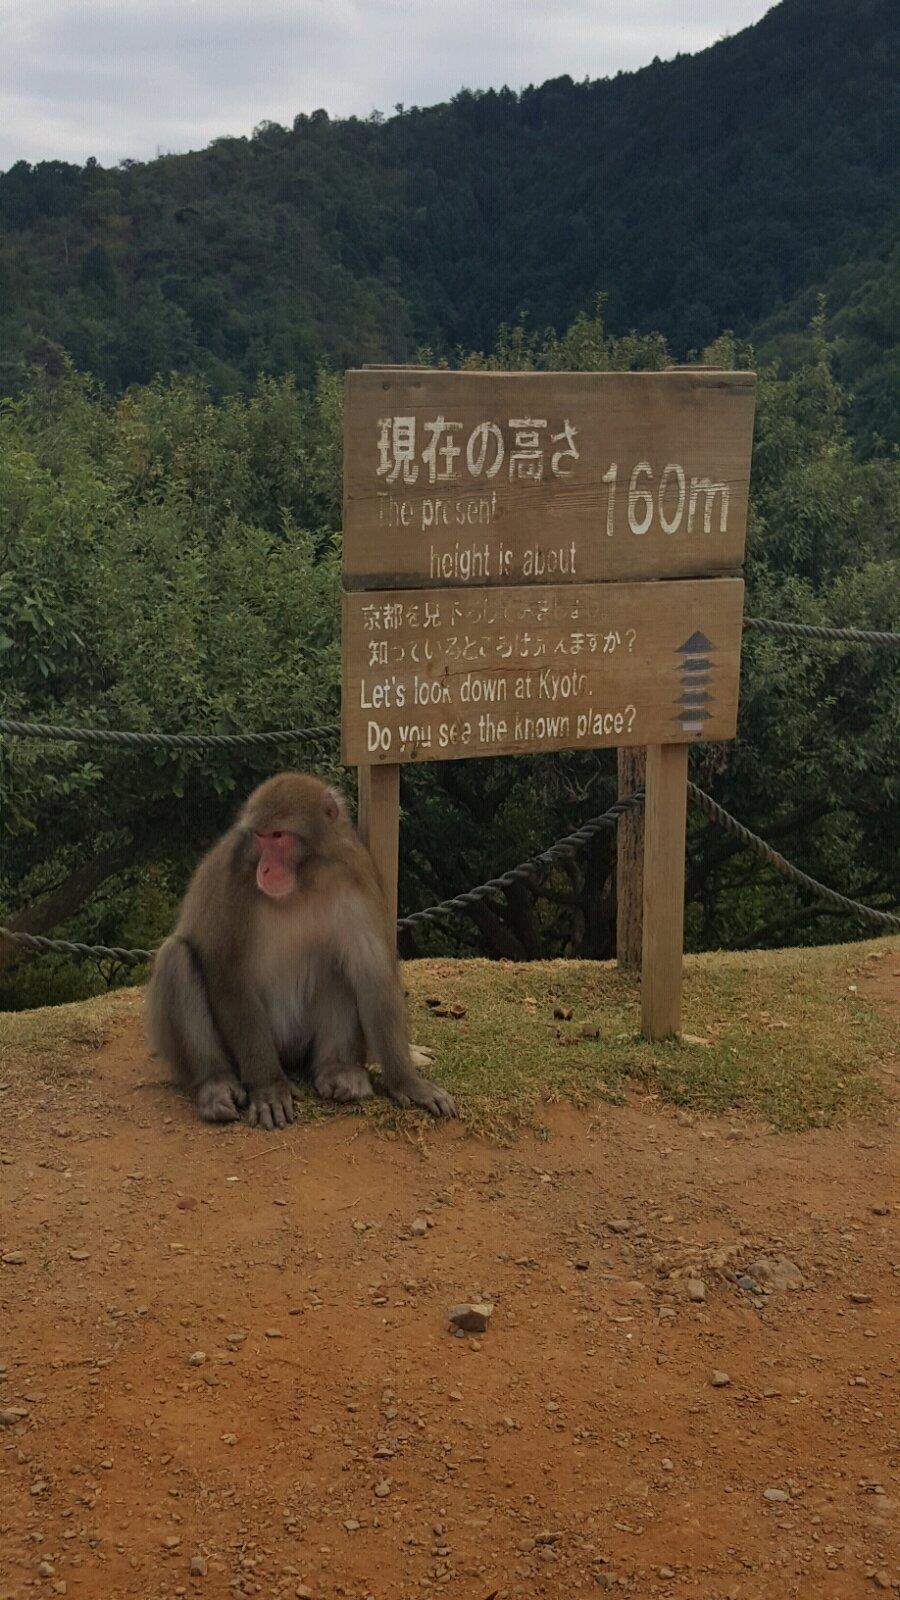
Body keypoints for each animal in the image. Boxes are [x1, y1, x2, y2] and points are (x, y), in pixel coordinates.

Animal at [149, 771, 454, 1126]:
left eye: (279, 836)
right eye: (260, 836)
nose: (264, 869)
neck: (305, 879)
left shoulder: (355, 873)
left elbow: (371, 972)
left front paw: (408, 1083)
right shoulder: (232, 877)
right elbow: (227, 973)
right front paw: (268, 1088)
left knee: (339, 967)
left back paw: (337, 1069)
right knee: (176, 957)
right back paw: (215, 1084)